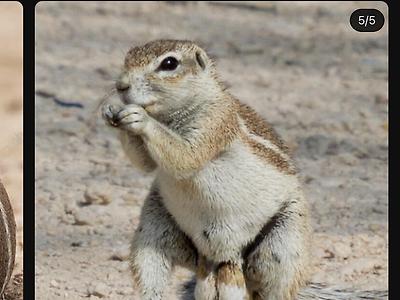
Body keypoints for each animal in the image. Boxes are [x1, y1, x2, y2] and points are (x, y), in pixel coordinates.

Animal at [101, 39, 310, 300]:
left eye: (169, 63)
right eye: (128, 56)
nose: (121, 85)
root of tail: (223, 254)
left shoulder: (215, 122)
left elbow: (186, 155)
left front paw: (140, 118)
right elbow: (144, 162)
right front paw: (110, 111)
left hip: (284, 242)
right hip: (153, 227)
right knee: (151, 272)